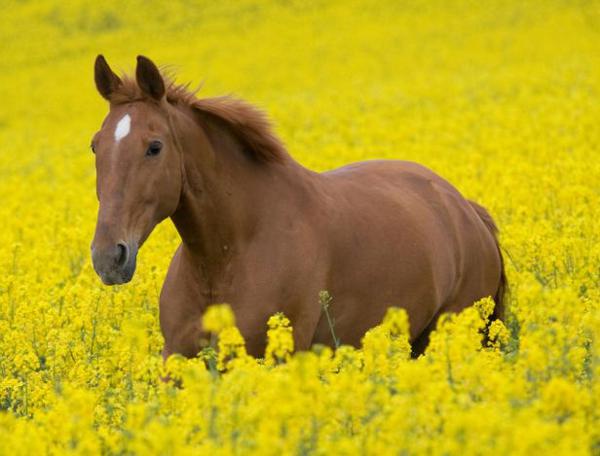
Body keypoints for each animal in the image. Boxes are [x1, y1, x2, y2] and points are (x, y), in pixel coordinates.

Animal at [90, 54, 506, 360]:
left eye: (154, 146)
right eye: (96, 145)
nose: (109, 257)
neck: (227, 256)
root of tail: (466, 209)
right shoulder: (177, 358)